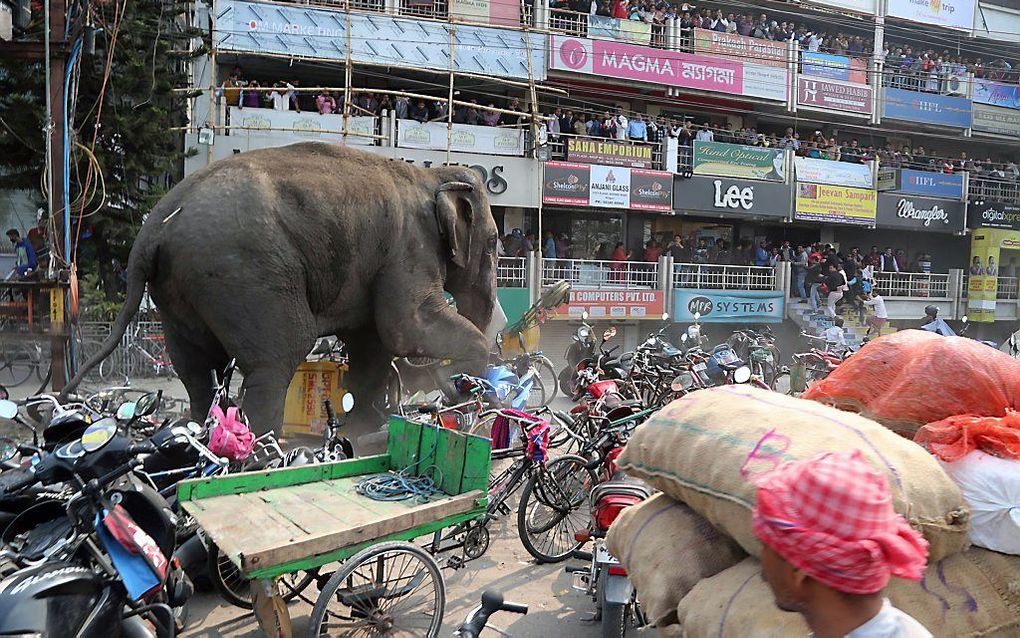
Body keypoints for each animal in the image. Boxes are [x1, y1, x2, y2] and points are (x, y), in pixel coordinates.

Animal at [64, 140, 505, 434]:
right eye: (494, 243)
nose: (450, 389)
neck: (431, 176)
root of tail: (153, 229)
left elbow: (372, 344)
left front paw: (366, 430)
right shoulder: (409, 246)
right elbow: (404, 327)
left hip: (178, 289)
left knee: (196, 367)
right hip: (245, 272)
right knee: (278, 355)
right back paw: (262, 448)